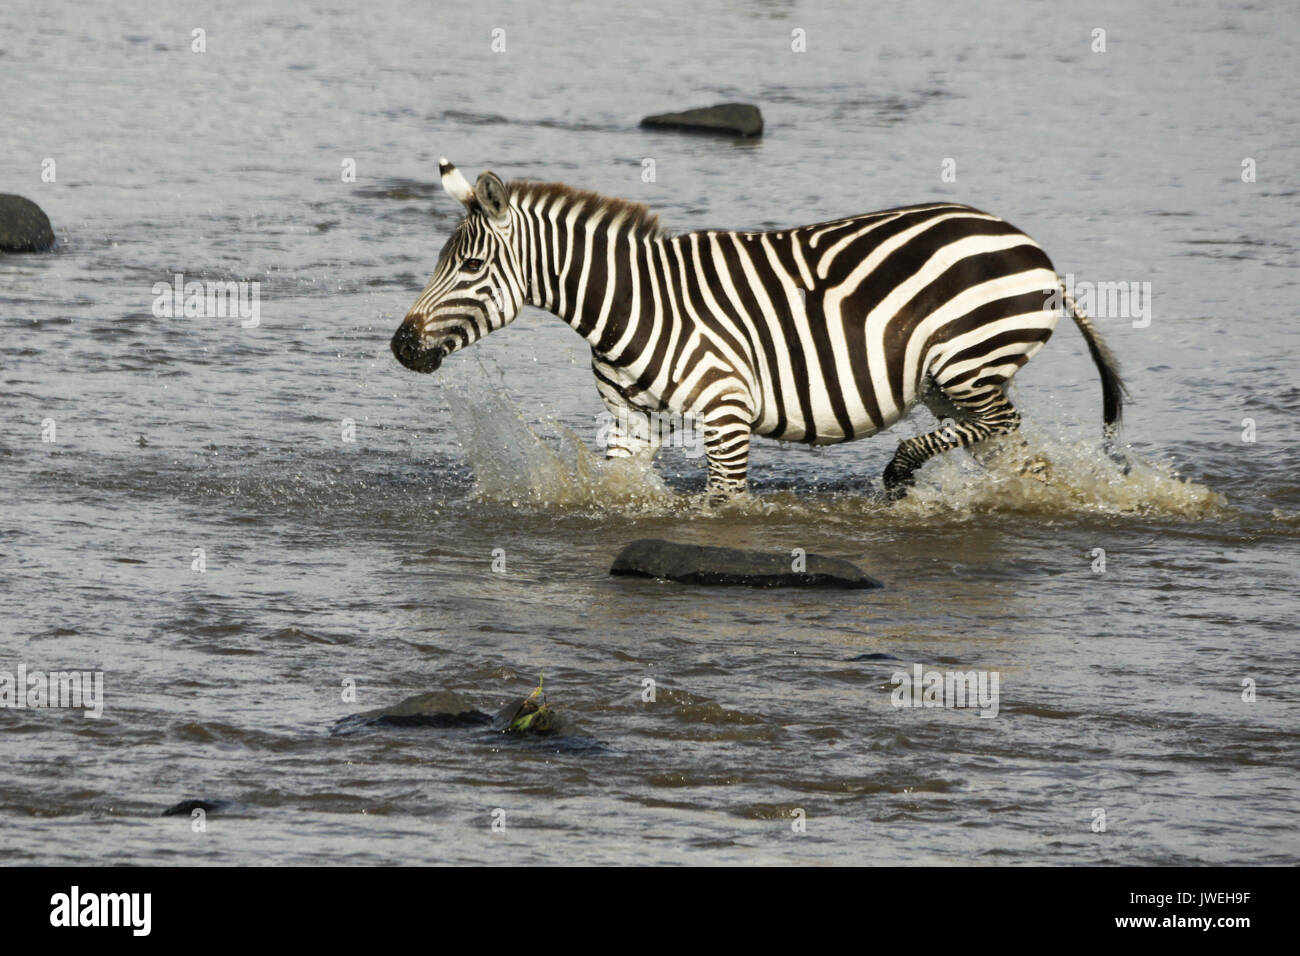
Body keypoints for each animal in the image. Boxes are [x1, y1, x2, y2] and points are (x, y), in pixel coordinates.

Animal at [390, 158, 1123, 502]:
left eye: (471, 266)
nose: (400, 346)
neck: (628, 306)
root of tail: (1033, 249)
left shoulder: (726, 414)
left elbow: (724, 502)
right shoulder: (629, 422)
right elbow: (620, 494)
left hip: (969, 362)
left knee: (999, 427)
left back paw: (900, 470)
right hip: (951, 383)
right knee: (1014, 450)